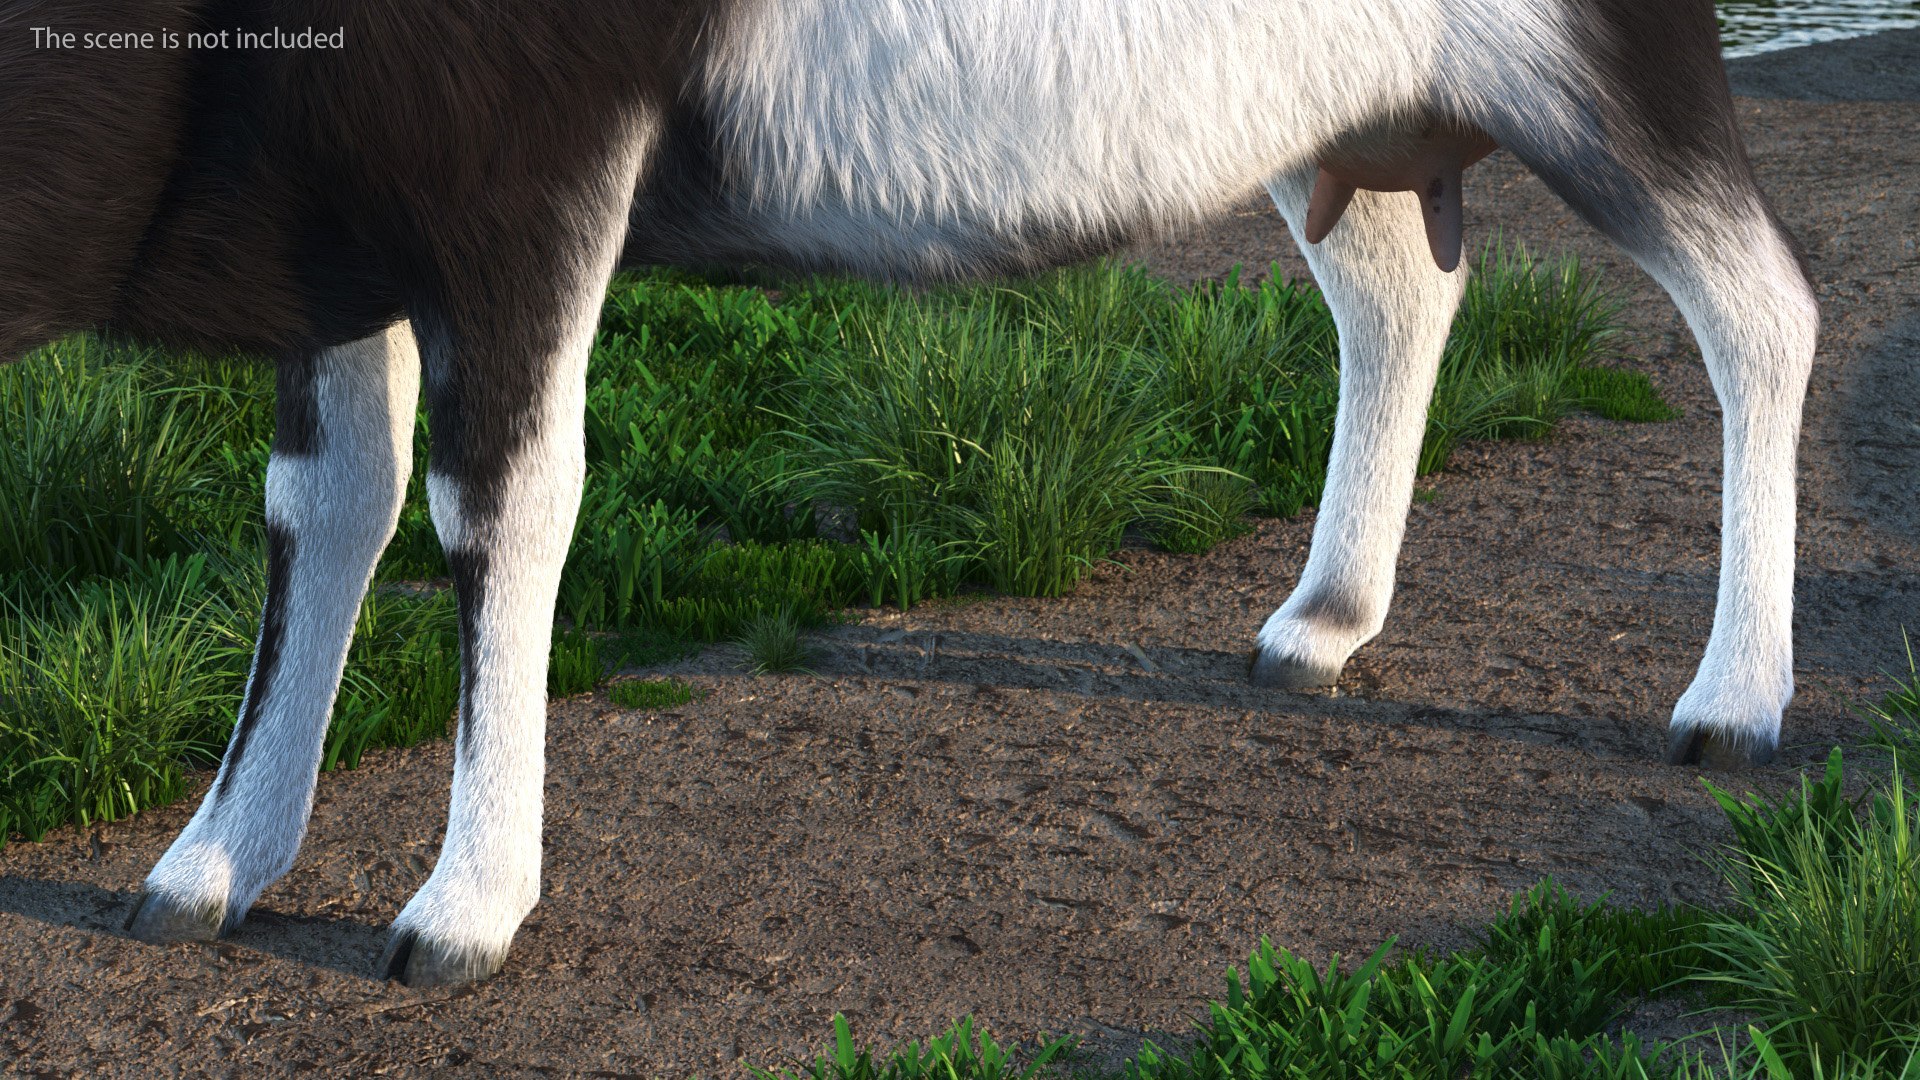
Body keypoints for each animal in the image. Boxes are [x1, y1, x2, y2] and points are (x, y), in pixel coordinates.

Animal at [0, 0, 1816, 985]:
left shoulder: (531, 179)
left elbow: (498, 506)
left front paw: (459, 911)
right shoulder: (347, 229)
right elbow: (326, 507)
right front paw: (204, 870)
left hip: (1616, 80)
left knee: (1764, 313)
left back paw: (1731, 704)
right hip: (1352, 122)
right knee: (1400, 290)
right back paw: (1318, 624)